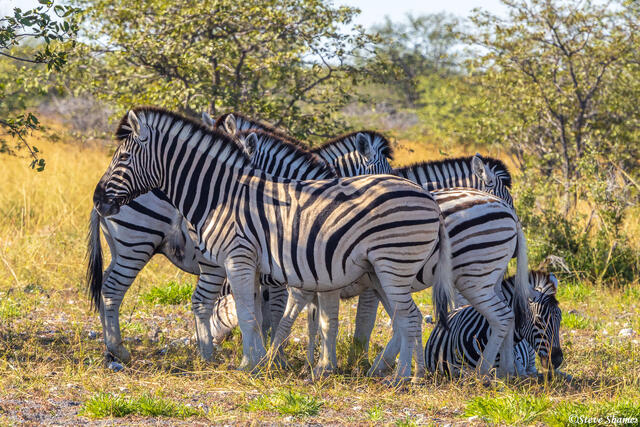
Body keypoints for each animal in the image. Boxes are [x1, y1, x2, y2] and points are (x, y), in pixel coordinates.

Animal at [93, 106, 454, 380]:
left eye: (122, 158)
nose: (98, 199)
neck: (223, 195)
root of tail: (430, 202)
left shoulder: (244, 259)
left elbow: (258, 314)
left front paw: (256, 363)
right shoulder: (261, 265)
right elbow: (259, 314)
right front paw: (265, 360)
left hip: (392, 267)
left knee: (408, 317)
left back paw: (407, 377)